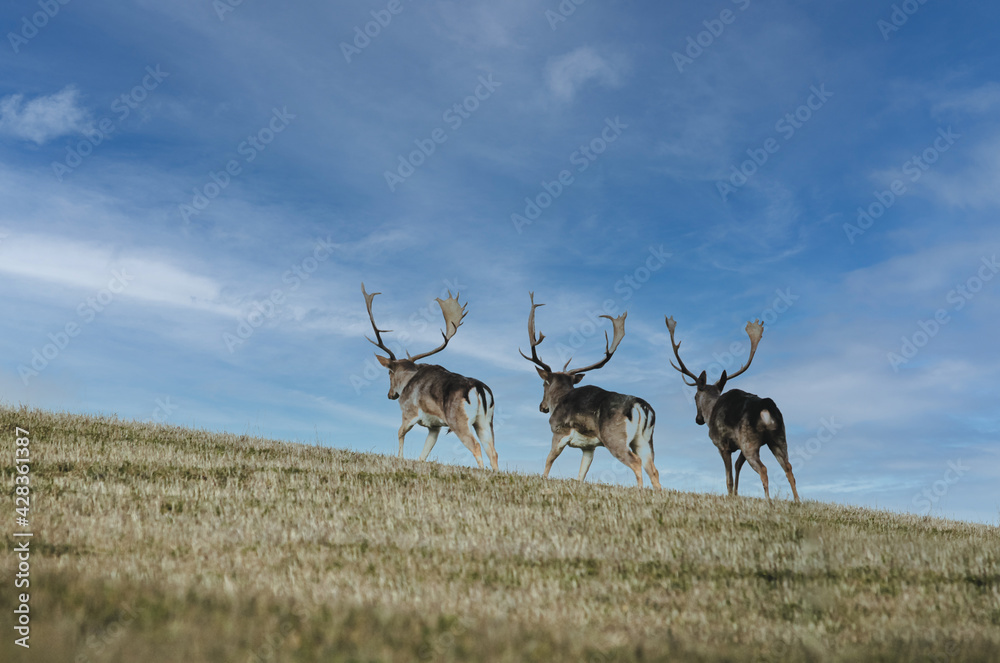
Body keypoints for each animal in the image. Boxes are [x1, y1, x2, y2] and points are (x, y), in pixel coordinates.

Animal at [361, 283, 498, 470]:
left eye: (389, 373)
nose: (390, 395)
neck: (408, 381)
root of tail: (479, 388)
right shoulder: (434, 426)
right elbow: (424, 453)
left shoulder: (409, 412)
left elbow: (400, 433)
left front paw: (399, 458)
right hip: (485, 421)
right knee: (493, 452)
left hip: (459, 420)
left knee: (476, 446)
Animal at [519, 292, 661, 488]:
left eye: (544, 384)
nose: (542, 407)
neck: (559, 400)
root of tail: (641, 407)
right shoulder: (589, 447)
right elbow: (582, 473)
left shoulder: (559, 431)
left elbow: (549, 460)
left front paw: (543, 479)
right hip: (645, 439)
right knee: (653, 468)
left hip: (614, 437)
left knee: (636, 462)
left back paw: (639, 490)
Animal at [665, 316, 799, 502]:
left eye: (694, 397)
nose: (698, 420)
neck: (711, 410)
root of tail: (766, 408)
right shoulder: (738, 445)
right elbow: (737, 466)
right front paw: (736, 494)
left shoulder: (722, 444)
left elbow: (728, 476)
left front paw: (730, 496)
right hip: (778, 436)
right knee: (789, 467)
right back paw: (798, 501)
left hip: (750, 441)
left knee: (764, 469)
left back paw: (769, 501)